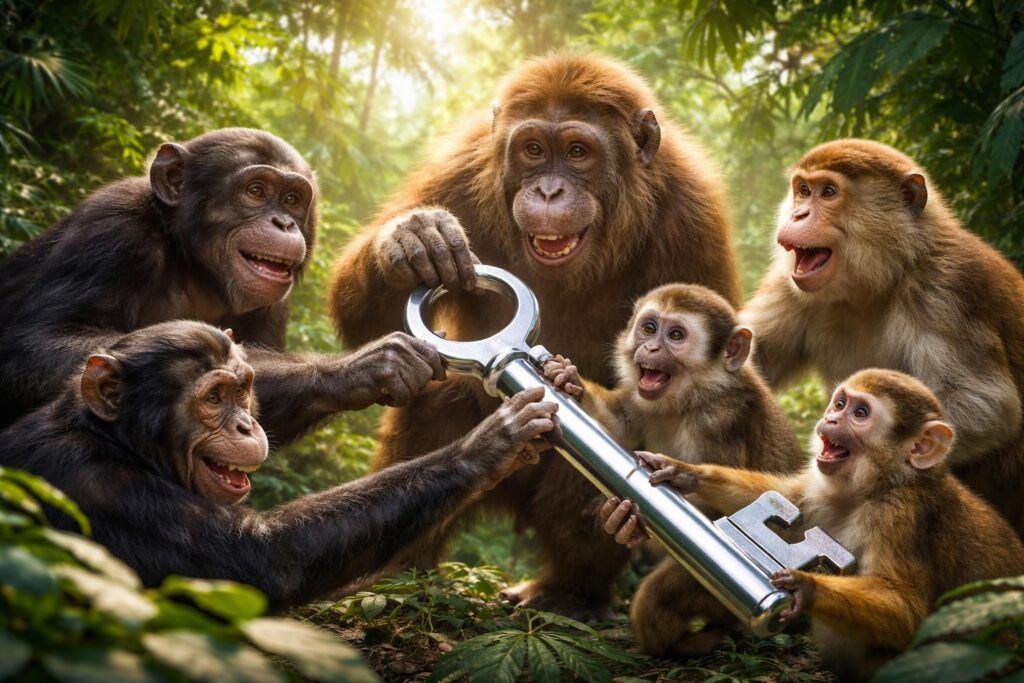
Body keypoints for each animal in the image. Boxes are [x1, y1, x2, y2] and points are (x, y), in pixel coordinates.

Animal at [0, 320, 559, 610]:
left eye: (243, 389)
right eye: (213, 398)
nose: (247, 425)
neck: (116, 441)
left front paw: (379, 365)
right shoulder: (109, 493)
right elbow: (268, 559)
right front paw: (491, 443)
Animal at [329, 52, 741, 618]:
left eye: (577, 152)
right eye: (533, 150)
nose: (549, 189)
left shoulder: (692, 218)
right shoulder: (456, 170)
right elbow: (367, 329)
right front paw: (411, 240)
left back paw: (569, 590)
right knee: (440, 402)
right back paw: (398, 573)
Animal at [543, 283, 804, 653]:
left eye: (676, 335)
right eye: (650, 328)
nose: (651, 347)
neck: (689, 399)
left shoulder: (718, 422)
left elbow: (711, 514)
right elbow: (621, 423)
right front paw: (569, 380)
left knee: (658, 597)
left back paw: (690, 643)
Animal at [602, 368, 1024, 680]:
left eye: (860, 413)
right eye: (841, 402)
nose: (831, 418)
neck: (873, 488)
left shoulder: (900, 515)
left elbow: (907, 610)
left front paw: (804, 588)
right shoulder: (821, 488)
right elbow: (781, 496)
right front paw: (682, 474)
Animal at [740, 138, 1024, 534]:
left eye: (828, 192)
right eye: (803, 191)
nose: (796, 215)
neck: (880, 280)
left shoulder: (946, 289)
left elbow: (985, 407)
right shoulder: (790, 281)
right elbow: (752, 354)